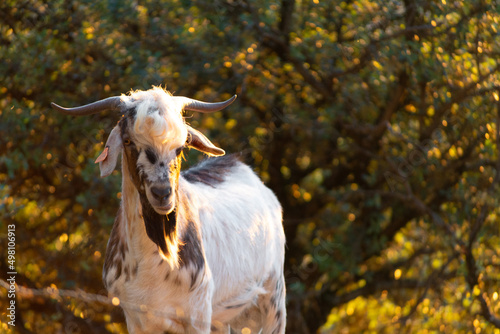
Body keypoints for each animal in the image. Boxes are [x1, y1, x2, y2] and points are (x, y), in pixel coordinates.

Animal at [51, 87, 288, 332]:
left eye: (181, 146)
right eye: (127, 140)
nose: (162, 193)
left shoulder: (198, 314)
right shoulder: (135, 317)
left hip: (273, 301)